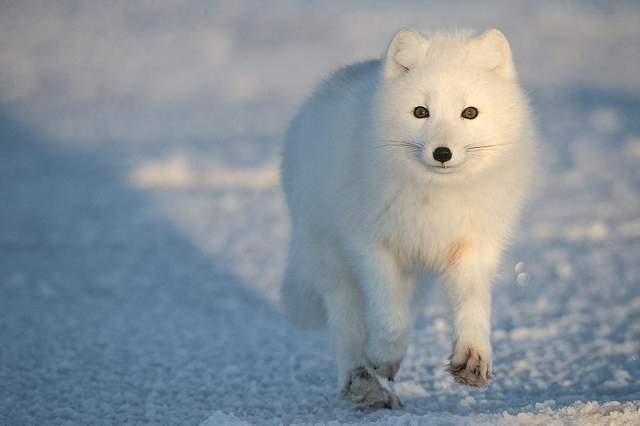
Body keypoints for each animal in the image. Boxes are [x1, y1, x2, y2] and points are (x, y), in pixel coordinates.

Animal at [280, 28, 536, 408]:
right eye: (420, 111)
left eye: (470, 112)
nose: (442, 153)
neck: (435, 198)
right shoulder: (369, 244)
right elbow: (388, 311)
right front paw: (385, 356)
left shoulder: (472, 246)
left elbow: (473, 304)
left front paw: (473, 356)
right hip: (332, 262)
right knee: (347, 328)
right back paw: (363, 385)